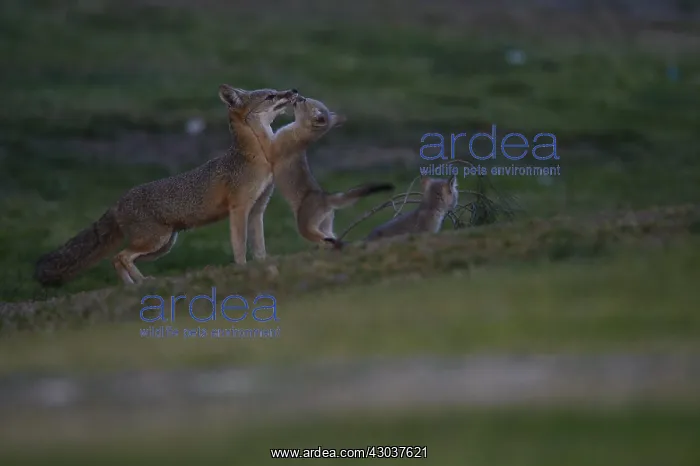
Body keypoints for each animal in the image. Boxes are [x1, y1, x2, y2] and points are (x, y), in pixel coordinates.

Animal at [34, 85, 298, 286]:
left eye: (276, 91)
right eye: (271, 96)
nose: (294, 91)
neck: (257, 155)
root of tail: (118, 202)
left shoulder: (257, 209)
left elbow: (259, 246)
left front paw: (264, 265)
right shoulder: (239, 209)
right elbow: (240, 246)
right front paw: (242, 269)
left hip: (162, 246)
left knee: (115, 259)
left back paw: (132, 286)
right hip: (156, 241)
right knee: (121, 256)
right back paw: (140, 282)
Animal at [269, 95, 395, 249]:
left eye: (303, 101)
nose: (298, 95)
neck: (300, 135)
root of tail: (325, 197)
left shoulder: (272, 149)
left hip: (305, 227)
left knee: (323, 238)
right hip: (325, 225)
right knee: (333, 238)